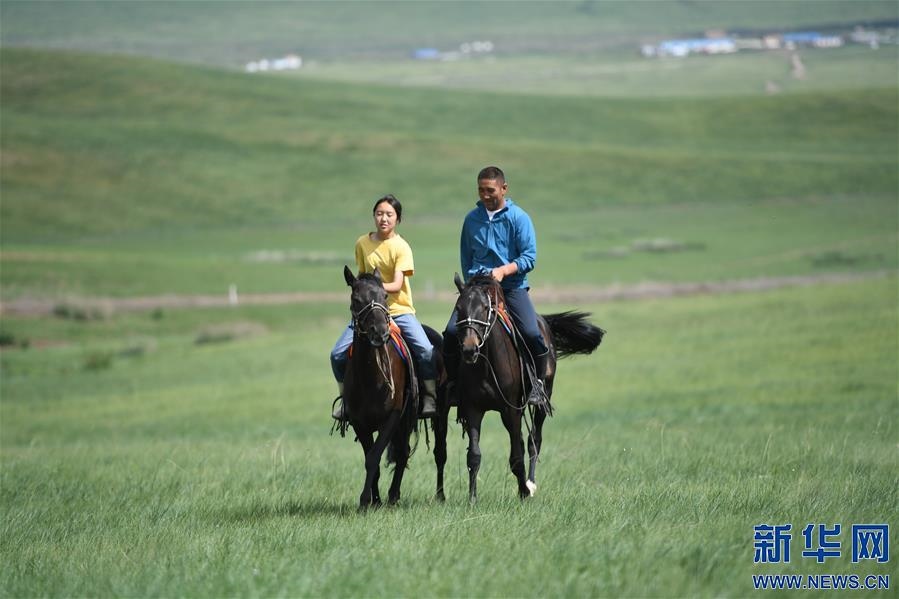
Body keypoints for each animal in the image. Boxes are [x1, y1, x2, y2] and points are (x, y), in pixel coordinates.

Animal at [340, 268, 450, 506]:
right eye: (356, 299)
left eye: (384, 296)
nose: (380, 332)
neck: (370, 376)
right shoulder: (359, 423)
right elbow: (371, 458)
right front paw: (374, 500)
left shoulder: (393, 417)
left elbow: (374, 458)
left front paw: (366, 501)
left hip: (438, 414)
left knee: (436, 453)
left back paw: (435, 495)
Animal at [450, 274, 604, 504]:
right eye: (459, 307)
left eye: (485, 307)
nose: (469, 349)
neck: (486, 365)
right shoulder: (473, 409)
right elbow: (474, 456)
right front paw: (472, 499)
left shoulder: (510, 410)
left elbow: (516, 456)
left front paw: (524, 491)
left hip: (542, 399)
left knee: (533, 441)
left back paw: (530, 483)